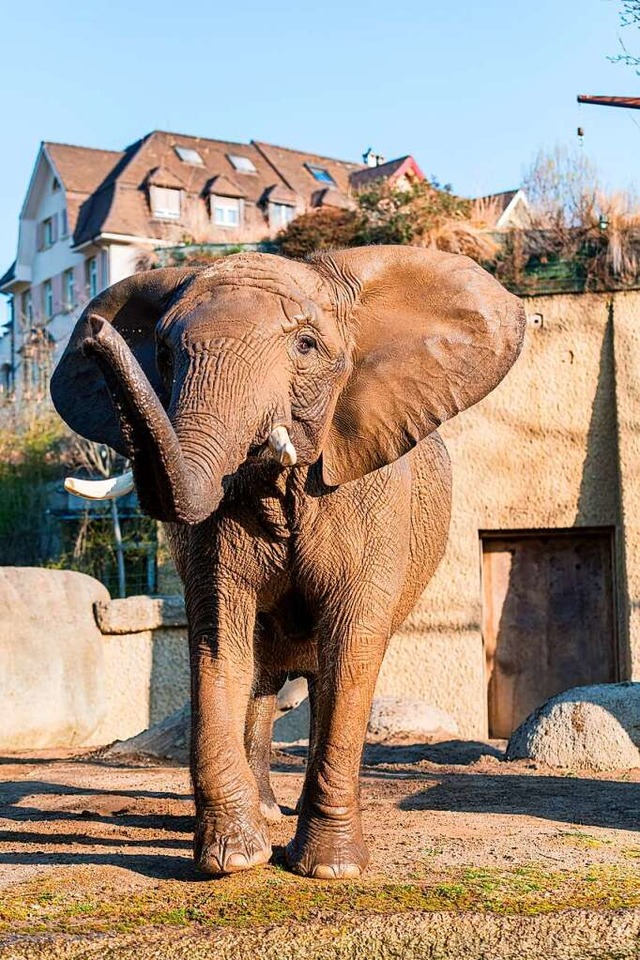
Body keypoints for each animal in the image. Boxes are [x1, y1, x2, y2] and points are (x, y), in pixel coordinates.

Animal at [52, 246, 524, 876]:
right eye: (164, 355)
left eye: (305, 346)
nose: (98, 336)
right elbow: (217, 638)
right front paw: (233, 860)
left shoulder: (371, 491)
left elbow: (352, 644)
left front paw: (329, 869)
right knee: (260, 676)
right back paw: (267, 813)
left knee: (323, 675)